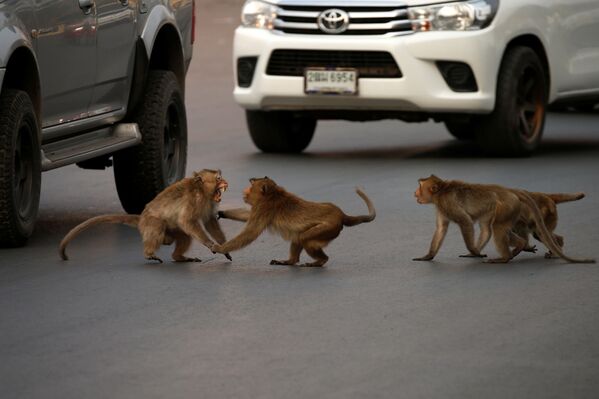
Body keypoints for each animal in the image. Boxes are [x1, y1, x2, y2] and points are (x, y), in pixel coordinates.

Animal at [58, 170, 232, 264]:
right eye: (218, 178)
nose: (225, 181)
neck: (202, 191)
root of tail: (141, 218)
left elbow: (209, 221)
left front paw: (224, 246)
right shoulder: (193, 200)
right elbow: (186, 221)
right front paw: (210, 244)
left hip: (170, 230)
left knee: (183, 236)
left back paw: (178, 256)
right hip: (149, 223)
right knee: (158, 225)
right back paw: (150, 253)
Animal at [214, 177, 376, 266]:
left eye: (252, 185)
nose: (245, 190)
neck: (272, 194)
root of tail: (341, 215)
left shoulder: (264, 208)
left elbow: (251, 232)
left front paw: (220, 248)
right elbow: (247, 216)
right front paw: (222, 213)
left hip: (329, 228)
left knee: (304, 237)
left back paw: (321, 261)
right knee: (298, 236)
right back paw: (290, 261)